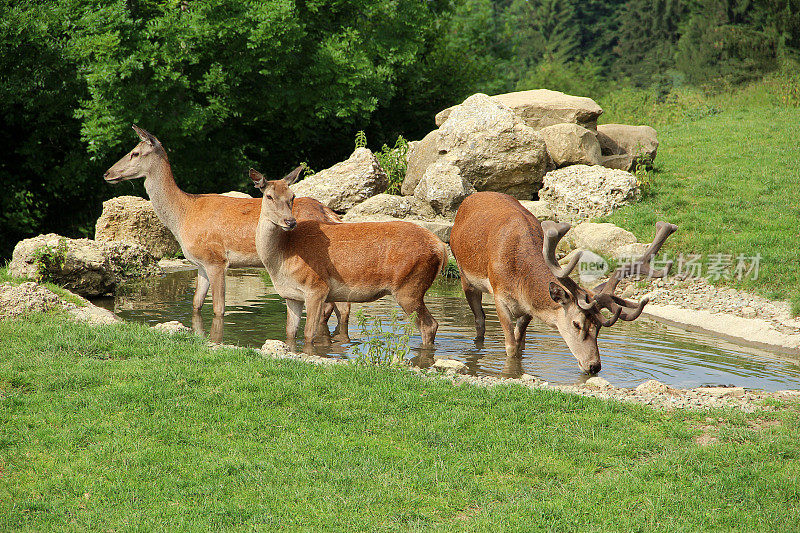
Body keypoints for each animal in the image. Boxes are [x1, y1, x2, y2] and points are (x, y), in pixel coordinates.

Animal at [104, 124, 350, 334]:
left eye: (135, 153)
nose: (107, 173)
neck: (183, 215)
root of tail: (329, 213)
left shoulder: (216, 259)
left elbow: (218, 309)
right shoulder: (200, 264)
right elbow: (196, 304)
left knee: (331, 307)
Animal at [250, 167, 450, 350]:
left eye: (292, 196)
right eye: (269, 196)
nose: (290, 222)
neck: (281, 258)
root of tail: (440, 247)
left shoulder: (316, 287)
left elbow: (308, 334)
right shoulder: (292, 296)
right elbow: (290, 333)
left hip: (409, 286)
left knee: (429, 325)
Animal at [450, 191, 676, 374]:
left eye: (599, 327)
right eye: (576, 323)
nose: (594, 366)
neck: (520, 279)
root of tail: (472, 197)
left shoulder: (529, 308)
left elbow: (521, 343)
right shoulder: (499, 296)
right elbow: (511, 347)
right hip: (465, 276)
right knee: (479, 320)